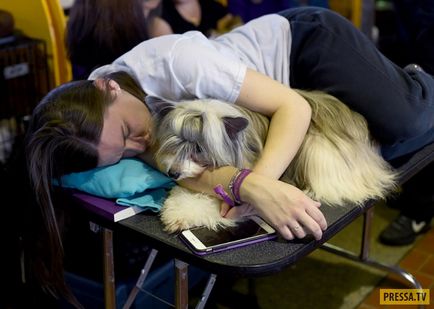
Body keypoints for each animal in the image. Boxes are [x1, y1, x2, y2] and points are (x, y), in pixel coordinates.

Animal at [151, 90, 398, 232]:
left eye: (198, 149)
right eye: (172, 144)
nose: (172, 173)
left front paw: (182, 216)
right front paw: (175, 211)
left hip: (317, 149)